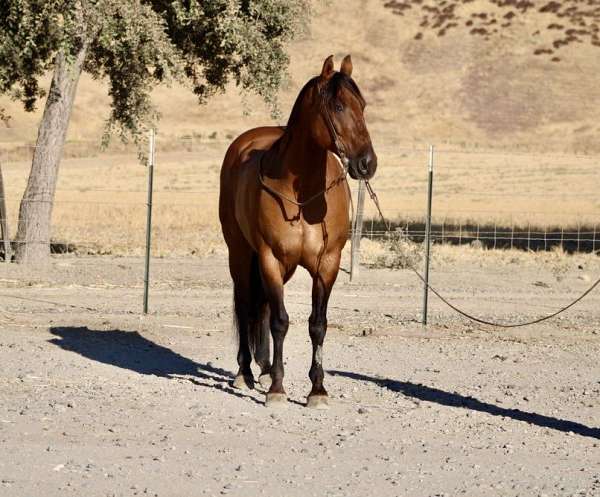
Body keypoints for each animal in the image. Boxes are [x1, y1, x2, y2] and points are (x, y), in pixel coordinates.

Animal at [218, 55, 378, 406]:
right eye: (338, 106)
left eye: (362, 105)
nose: (367, 164)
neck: (304, 196)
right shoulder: (270, 259)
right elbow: (280, 321)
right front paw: (278, 388)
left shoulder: (327, 264)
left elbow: (317, 325)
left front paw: (317, 389)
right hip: (241, 254)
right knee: (246, 304)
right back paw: (245, 372)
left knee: (262, 307)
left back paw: (264, 368)